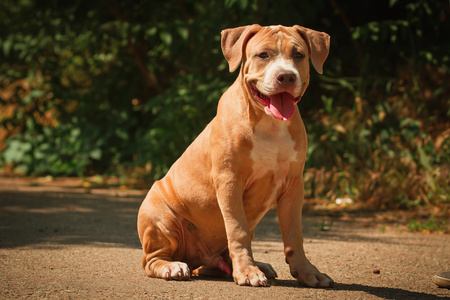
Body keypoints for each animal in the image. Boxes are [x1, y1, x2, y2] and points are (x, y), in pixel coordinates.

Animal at [138, 24, 334, 288]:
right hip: (159, 216)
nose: (286, 76)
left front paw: (307, 272)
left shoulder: (294, 185)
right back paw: (172, 266)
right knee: (151, 260)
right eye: (263, 55)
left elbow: (294, 235)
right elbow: (237, 229)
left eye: (299, 55)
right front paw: (248, 272)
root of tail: (196, 258)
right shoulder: (229, 181)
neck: (270, 125)